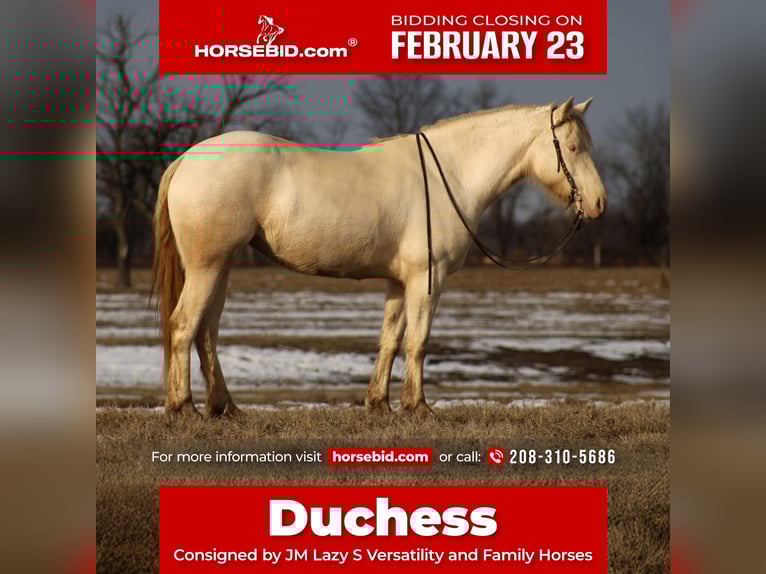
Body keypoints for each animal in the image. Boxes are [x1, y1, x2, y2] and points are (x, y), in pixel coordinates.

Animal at [152, 97, 606, 418]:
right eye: (571, 146)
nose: (599, 203)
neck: (450, 174)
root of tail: (187, 159)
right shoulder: (428, 279)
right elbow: (418, 342)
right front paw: (418, 406)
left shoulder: (399, 282)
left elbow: (390, 339)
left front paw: (379, 403)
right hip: (207, 267)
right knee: (184, 326)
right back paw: (185, 408)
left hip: (220, 267)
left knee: (207, 332)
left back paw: (225, 407)